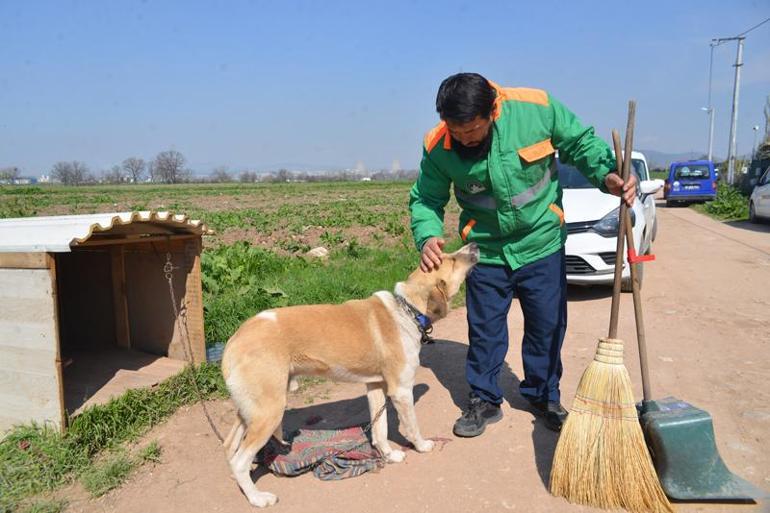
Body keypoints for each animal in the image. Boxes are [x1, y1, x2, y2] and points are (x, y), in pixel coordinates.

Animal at [219, 242, 476, 506]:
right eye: (451, 260)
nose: (475, 245)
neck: (407, 310)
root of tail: (235, 339)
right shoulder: (401, 391)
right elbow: (412, 426)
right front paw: (422, 446)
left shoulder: (375, 387)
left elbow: (380, 430)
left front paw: (389, 455)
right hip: (268, 411)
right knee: (240, 459)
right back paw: (257, 498)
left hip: (250, 409)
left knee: (230, 447)